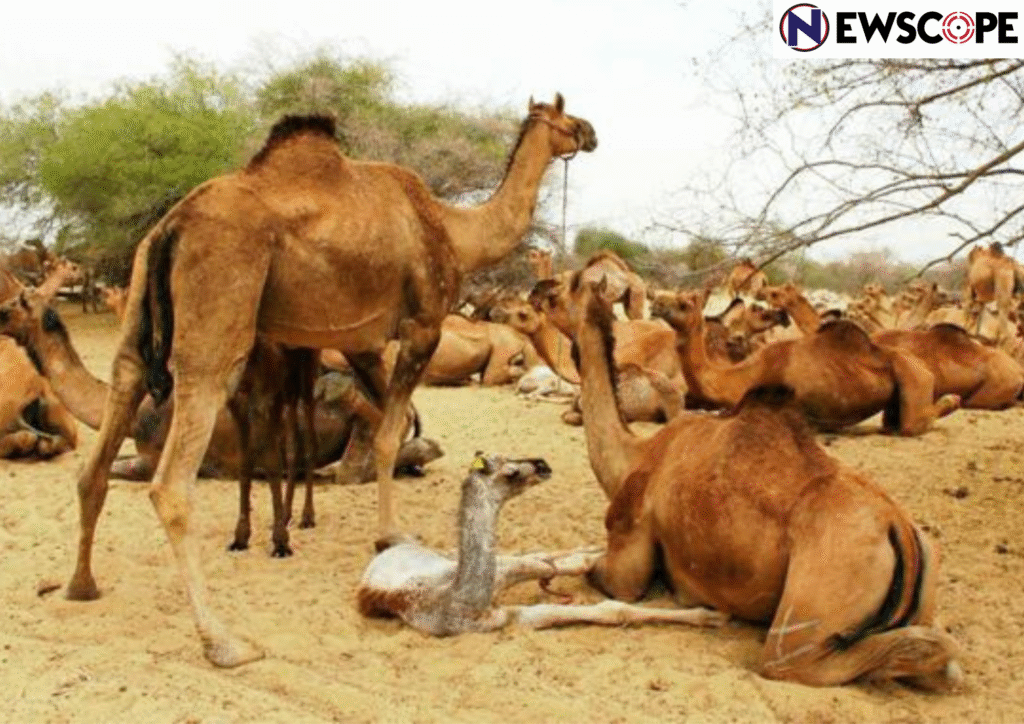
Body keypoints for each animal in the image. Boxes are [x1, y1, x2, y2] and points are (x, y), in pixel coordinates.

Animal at [65, 95, 595, 666]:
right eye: (566, 116)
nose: (591, 132)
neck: (454, 229)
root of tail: (172, 226)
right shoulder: (423, 325)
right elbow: (389, 433)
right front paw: (389, 535)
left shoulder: (362, 342)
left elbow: (396, 424)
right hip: (216, 313)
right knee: (172, 484)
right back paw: (224, 642)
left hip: (139, 295)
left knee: (103, 437)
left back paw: (81, 585)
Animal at [357, 453, 725, 636]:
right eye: (509, 472)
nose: (542, 465)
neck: (461, 600)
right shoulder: (504, 619)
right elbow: (606, 609)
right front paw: (711, 616)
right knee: (540, 560)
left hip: (465, 561)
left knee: (539, 557)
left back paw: (591, 551)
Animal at [650, 288, 960, 435]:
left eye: (684, 304)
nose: (656, 304)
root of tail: (924, 367)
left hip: (913, 379)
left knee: (912, 424)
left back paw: (952, 399)